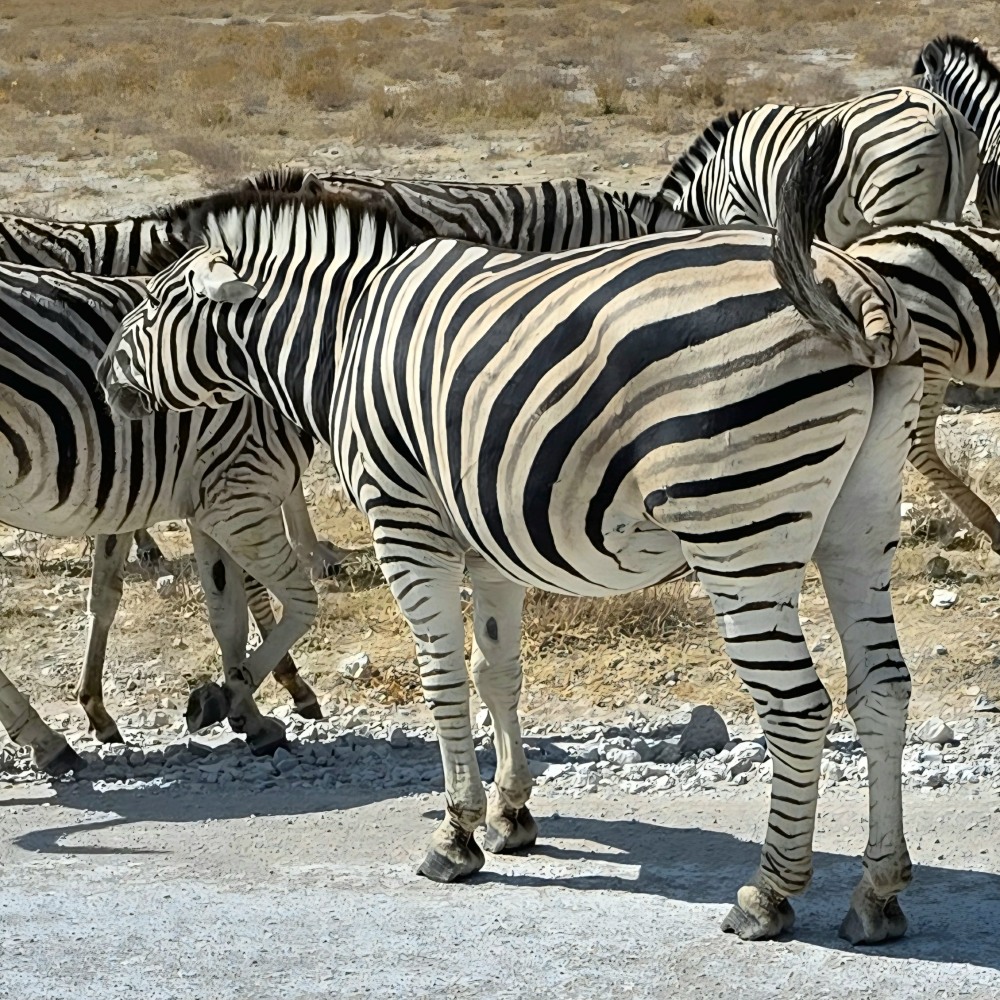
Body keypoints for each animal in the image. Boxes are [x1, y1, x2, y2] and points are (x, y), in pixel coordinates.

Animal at [0, 262, 321, 759]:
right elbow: (272, 601)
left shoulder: (161, 503)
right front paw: (253, 696)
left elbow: (212, 610)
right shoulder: (235, 492)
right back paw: (45, 739)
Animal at [100, 123, 923, 944]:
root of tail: (845, 284)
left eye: (157, 300)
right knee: (881, 691)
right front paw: (510, 815)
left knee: (798, 707)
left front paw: (455, 835)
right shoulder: (490, 541)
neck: (345, 335)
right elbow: (497, 672)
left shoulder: (406, 527)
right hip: (859, 521)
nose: (107, 372)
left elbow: (441, 679)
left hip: (737, 532)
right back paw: (877, 893)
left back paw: (768, 893)